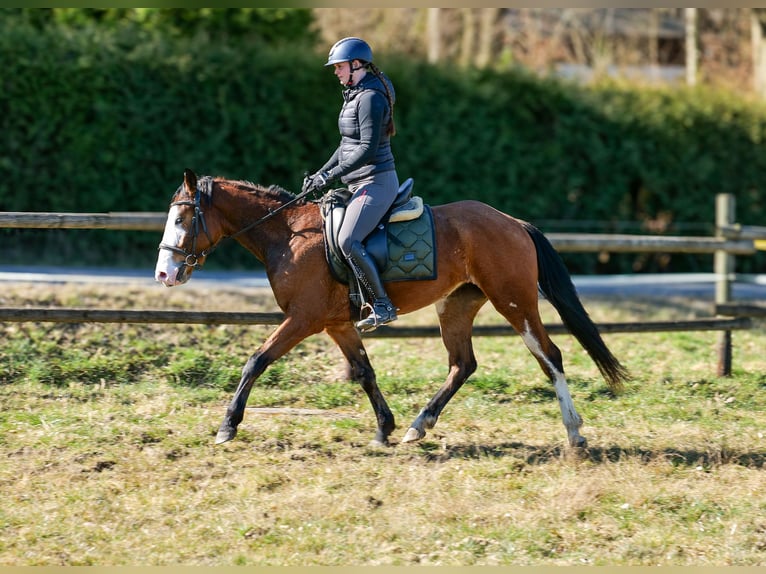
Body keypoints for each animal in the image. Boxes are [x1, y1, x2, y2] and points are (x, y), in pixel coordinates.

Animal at [154, 169, 632, 448]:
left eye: (181, 219)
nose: (164, 273)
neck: (288, 234)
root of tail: (513, 222)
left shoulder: (303, 319)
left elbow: (255, 361)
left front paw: (227, 426)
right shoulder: (335, 324)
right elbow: (364, 371)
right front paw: (385, 427)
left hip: (514, 302)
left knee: (550, 357)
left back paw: (574, 432)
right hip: (455, 307)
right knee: (463, 365)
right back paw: (419, 425)